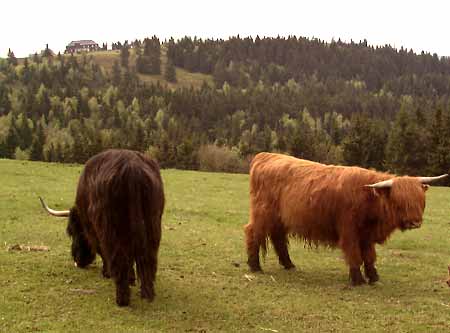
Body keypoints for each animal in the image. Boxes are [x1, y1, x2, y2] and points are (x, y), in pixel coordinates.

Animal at [39, 149, 164, 304]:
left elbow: (101, 250)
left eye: (73, 232)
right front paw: (131, 279)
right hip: (152, 224)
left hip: (110, 228)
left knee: (117, 256)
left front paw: (107, 273)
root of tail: (132, 167)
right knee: (148, 257)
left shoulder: (92, 228)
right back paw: (147, 294)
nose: (77, 260)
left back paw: (122, 299)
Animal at [246, 152, 446, 284]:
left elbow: (369, 256)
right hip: (263, 213)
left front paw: (373, 277)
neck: (369, 199)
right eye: (399, 201)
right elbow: (354, 255)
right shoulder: (349, 231)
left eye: (421, 200)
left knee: (278, 238)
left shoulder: (367, 235)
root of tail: (266, 156)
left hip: (279, 219)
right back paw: (255, 266)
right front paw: (357, 279)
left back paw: (288, 264)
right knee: (252, 233)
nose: (415, 222)